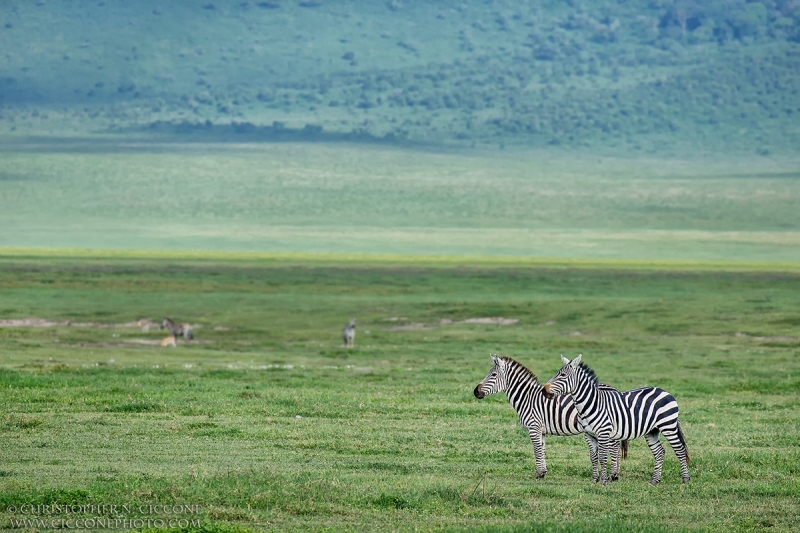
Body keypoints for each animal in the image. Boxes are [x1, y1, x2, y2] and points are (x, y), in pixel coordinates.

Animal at [472, 356, 628, 480]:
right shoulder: (541, 431)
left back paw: (614, 475)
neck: (527, 398)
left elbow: (536, 450)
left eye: (493, 374)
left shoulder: (533, 427)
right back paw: (616, 474)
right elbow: (542, 449)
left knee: (614, 447)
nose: (475, 392)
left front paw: (539, 474)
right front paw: (543, 472)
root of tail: (615, 389)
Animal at [544, 354, 692, 486]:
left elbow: (603, 457)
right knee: (660, 452)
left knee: (679, 449)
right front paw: (594, 480)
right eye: (557, 373)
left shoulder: (603, 433)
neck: (591, 404)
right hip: (652, 430)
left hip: (668, 425)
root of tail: (664, 391)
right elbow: (593, 457)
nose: (544, 390)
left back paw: (685, 479)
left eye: (563, 375)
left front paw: (604, 481)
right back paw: (654, 481)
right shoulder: (588, 435)